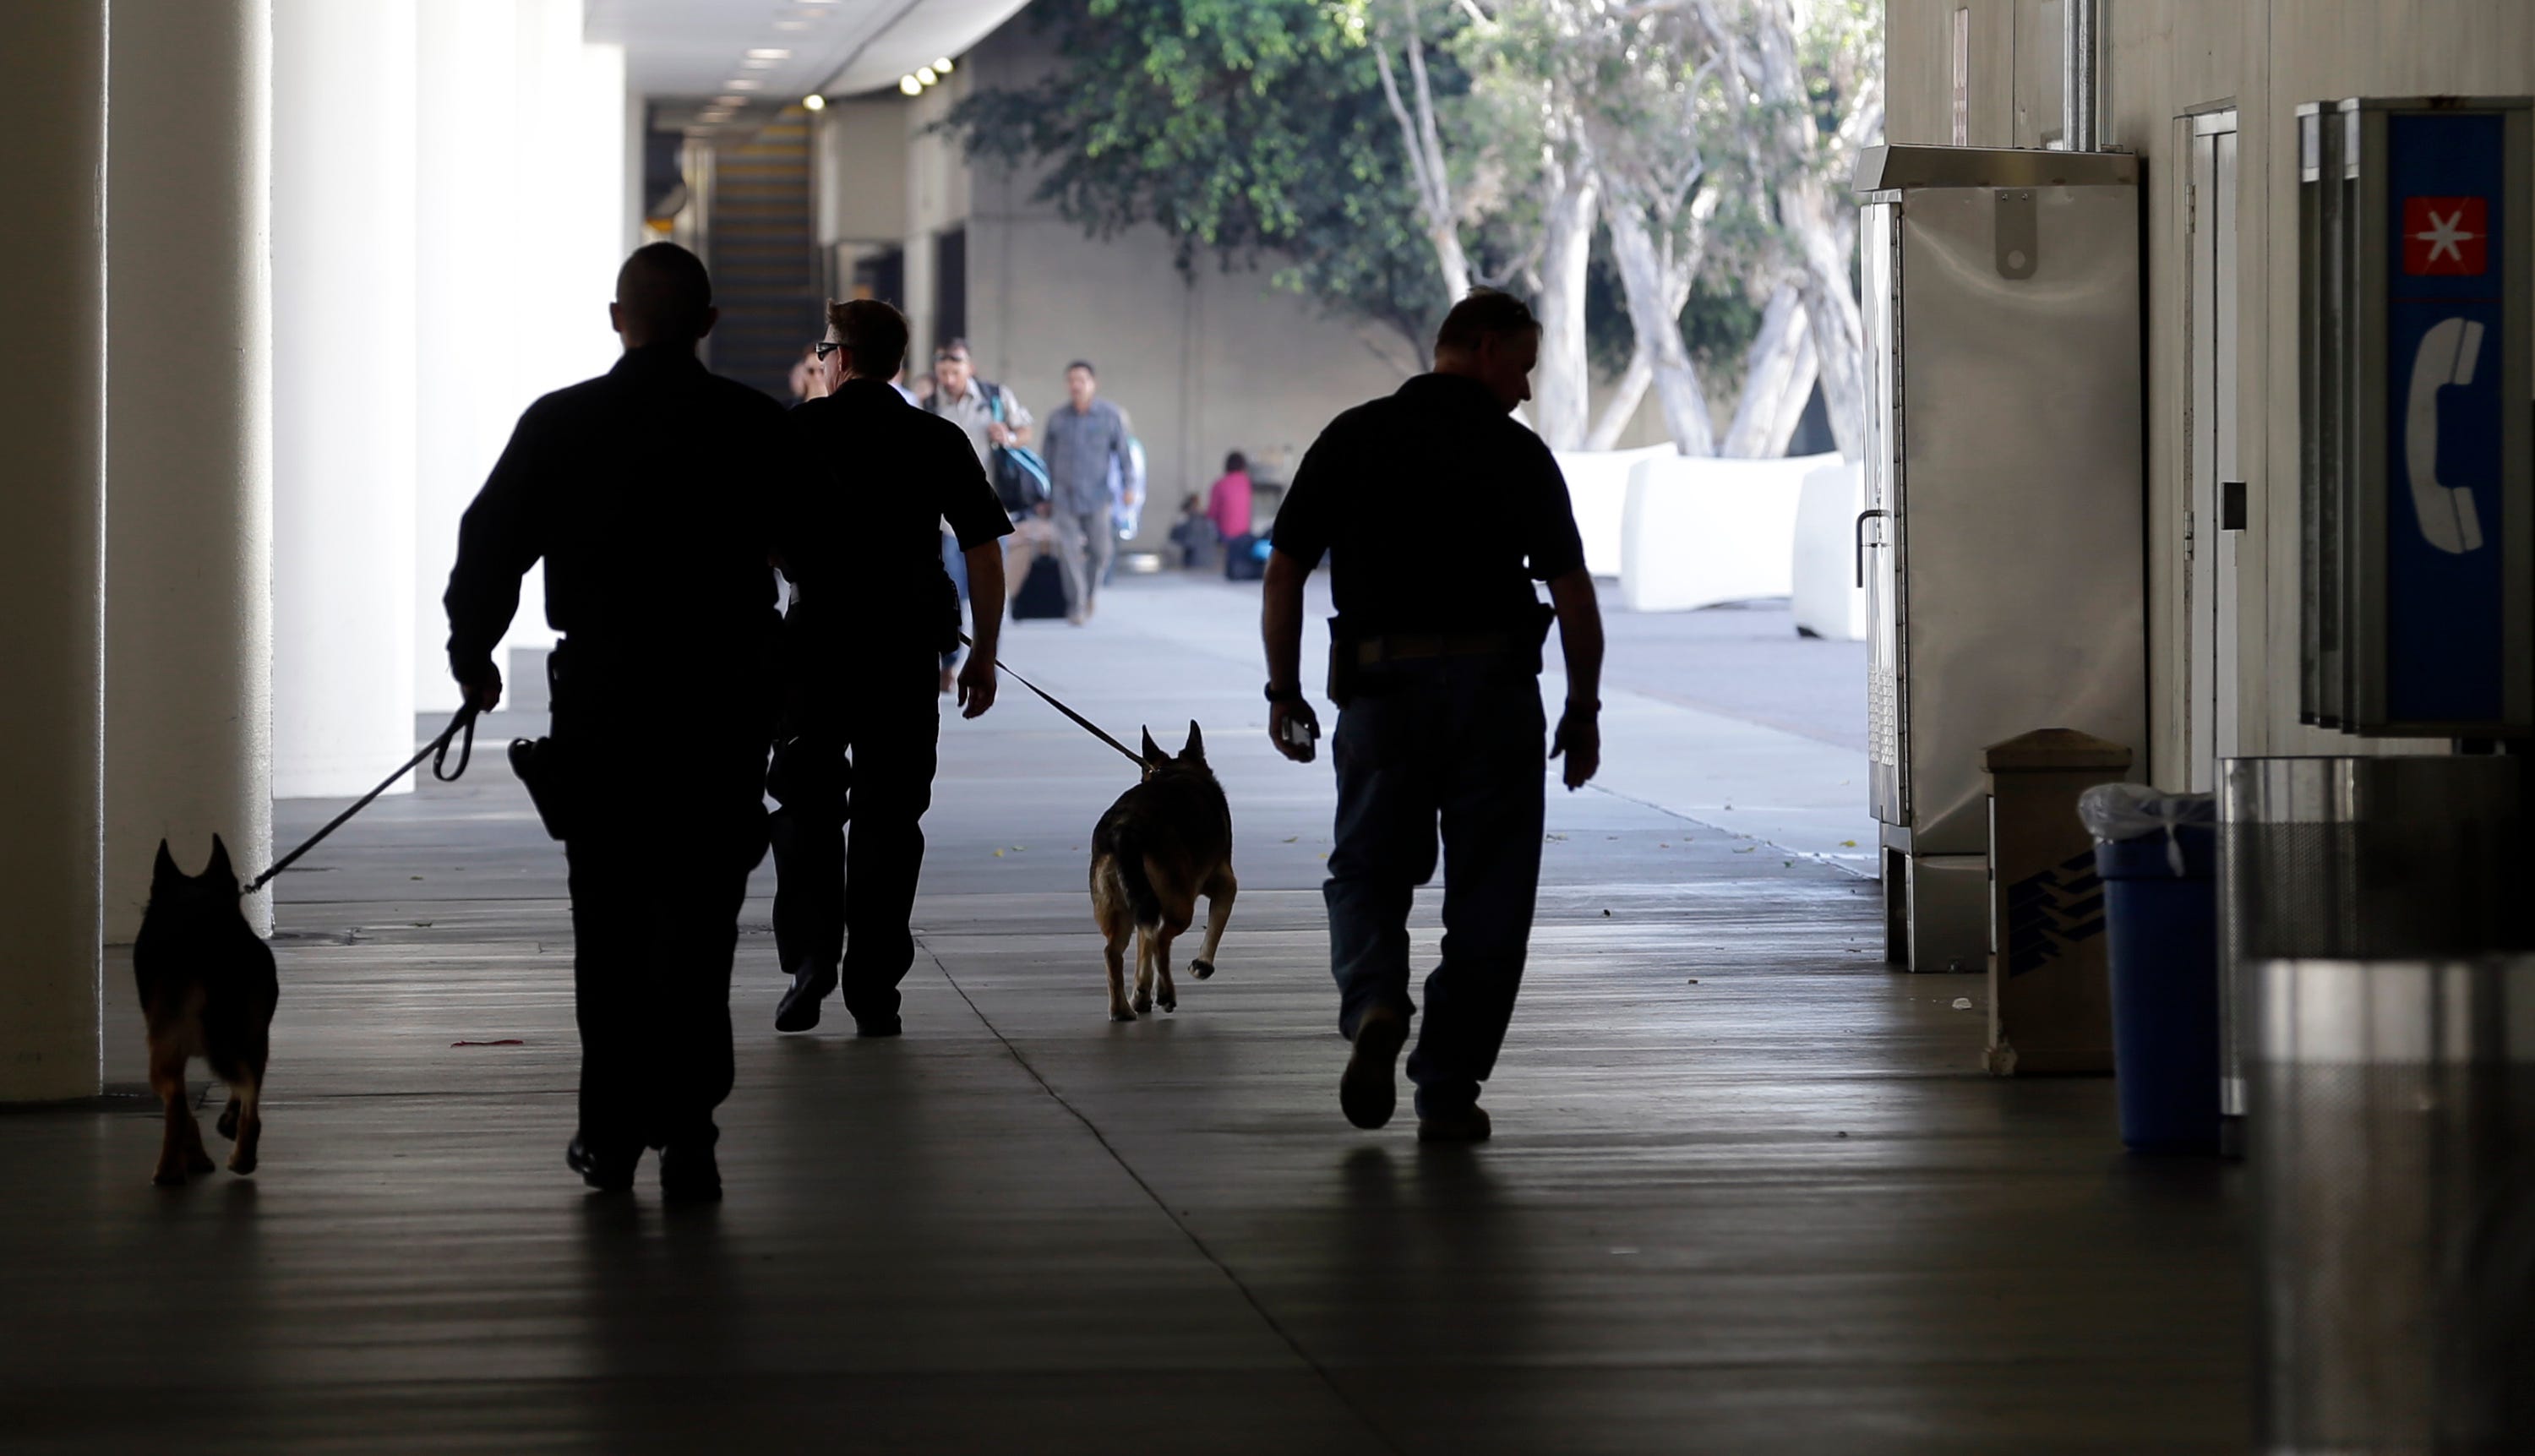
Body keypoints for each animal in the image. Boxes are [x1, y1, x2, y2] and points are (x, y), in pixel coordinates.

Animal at [134, 842, 279, 1186]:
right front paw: (224, 1124)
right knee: (250, 1098)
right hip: (254, 1037)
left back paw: (169, 1171)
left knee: (176, 1103)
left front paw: (195, 1156)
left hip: (165, 1052)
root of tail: (211, 946)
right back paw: (243, 1158)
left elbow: (185, 1110)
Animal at [1090, 725, 1237, 1019]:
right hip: (1180, 905)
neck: (1175, 770)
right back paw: (1166, 993)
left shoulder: (1142, 901)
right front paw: (1202, 965)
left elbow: (1143, 949)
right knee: (1160, 939)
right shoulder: (1226, 883)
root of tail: (1125, 827)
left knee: (1115, 951)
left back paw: (1122, 1009)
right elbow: (1216, 924)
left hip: (1121, 904)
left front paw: (1141, 994)